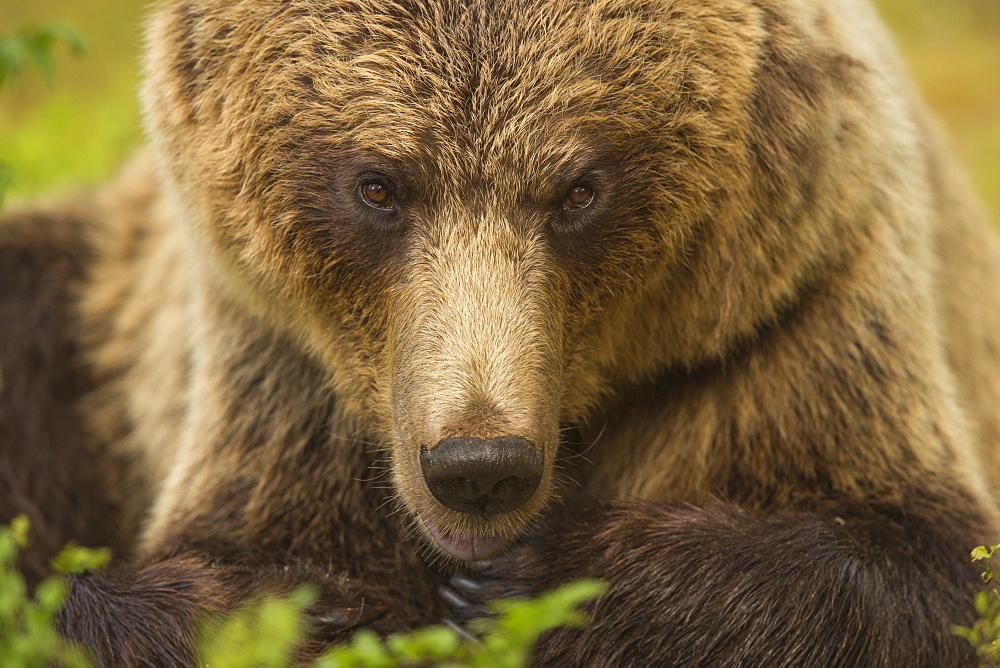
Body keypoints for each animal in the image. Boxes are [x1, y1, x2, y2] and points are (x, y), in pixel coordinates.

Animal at [1, 0, 1000, 664]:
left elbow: (927, 564)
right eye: (378, 184)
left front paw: (535, 584)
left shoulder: (798, 302)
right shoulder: (274, 362)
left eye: (579, 189)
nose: (478, 467)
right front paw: (294, 604)